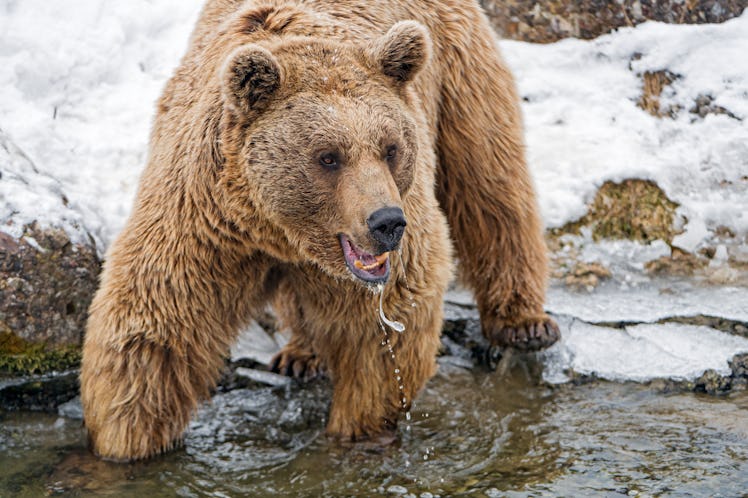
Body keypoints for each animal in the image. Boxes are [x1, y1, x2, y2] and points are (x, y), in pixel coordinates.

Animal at [83, 0, 560, 462]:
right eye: (328, 156)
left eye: (390, 148)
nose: (387, 222)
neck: (277, 229)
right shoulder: (205, 220)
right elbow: (158, 322)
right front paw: (125, 442)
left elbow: (384, 330)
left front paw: (359, 430)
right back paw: (300, 354)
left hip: (455, 70)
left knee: (491, 185)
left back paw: (525, 324)